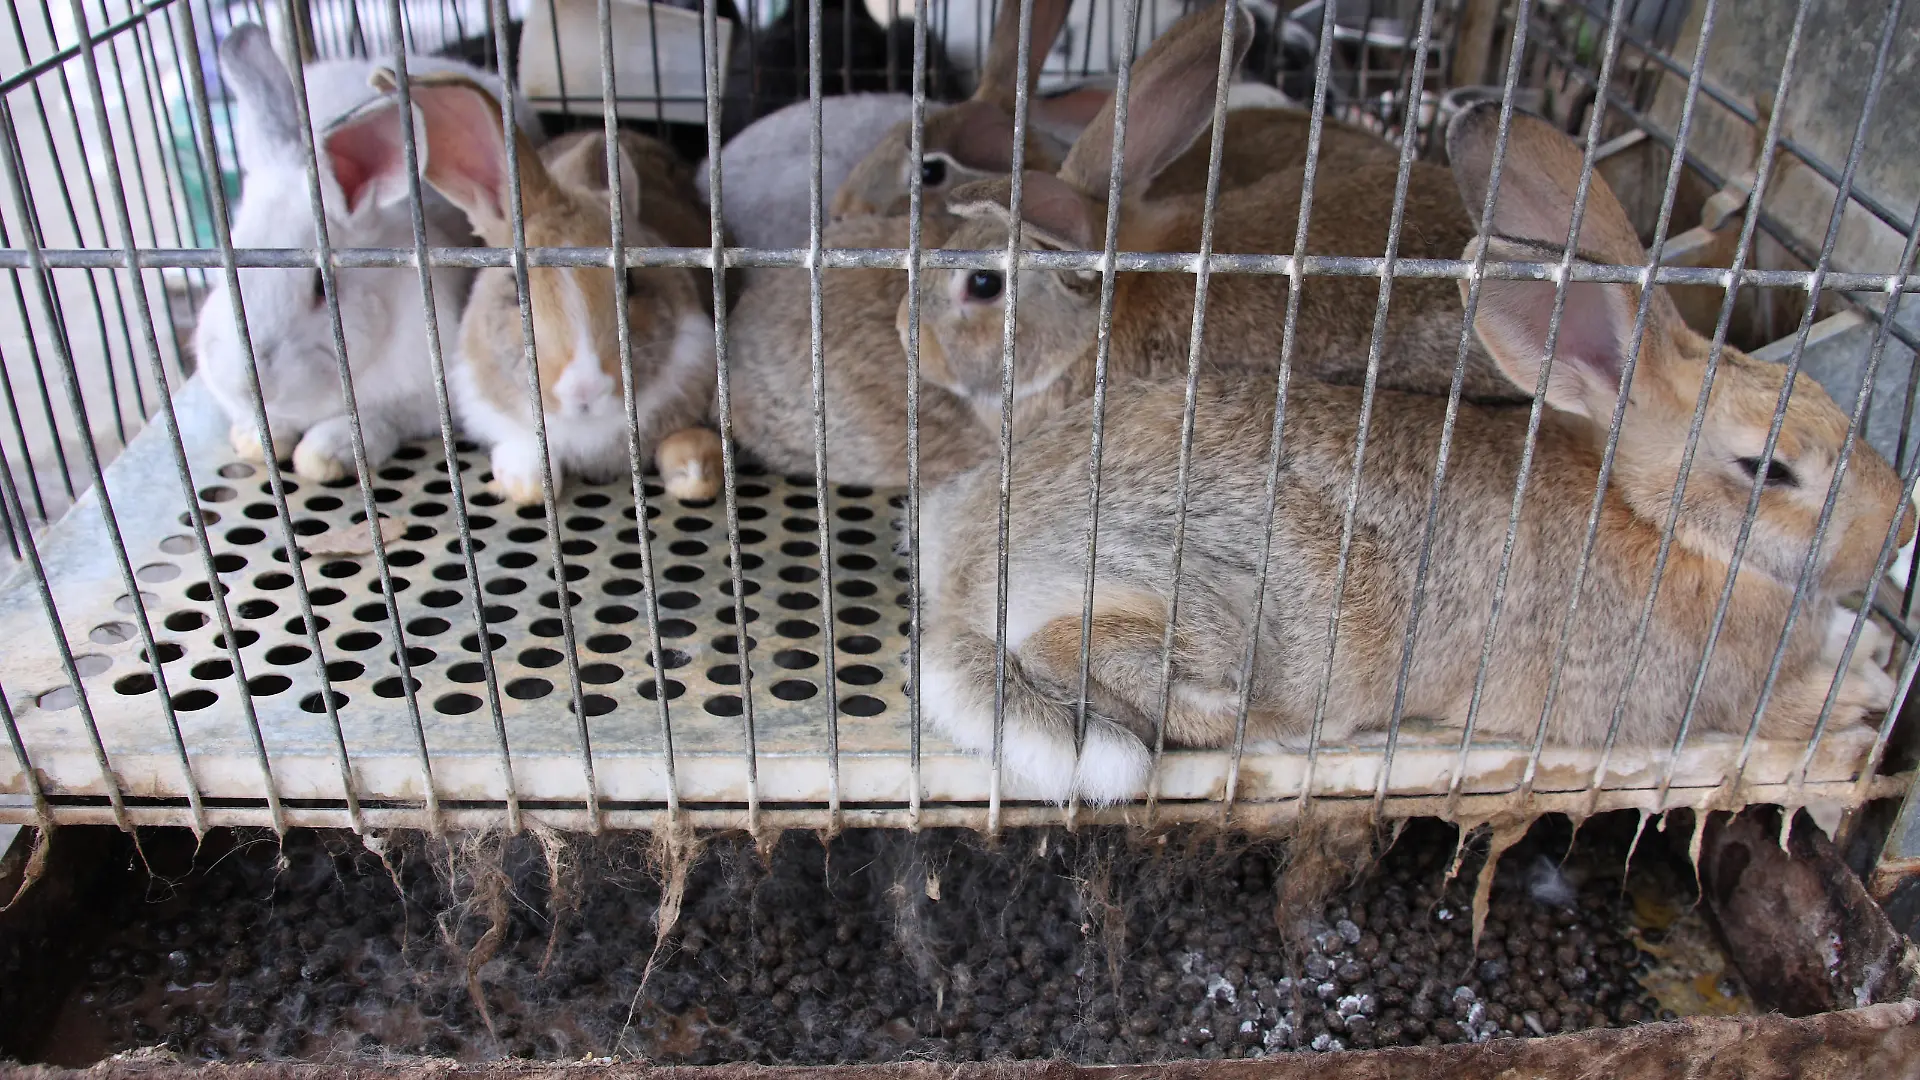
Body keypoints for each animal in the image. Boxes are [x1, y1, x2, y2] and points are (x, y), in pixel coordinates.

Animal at [193, 24, 542, 483]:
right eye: (222, 271)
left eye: (320, 287)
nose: (244, 383)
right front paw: (253, 438)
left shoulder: (425, 398)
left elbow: (375, 421)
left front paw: (323, 453)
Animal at [912, 104, 1917, 805]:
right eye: (1770, 469)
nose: (1900, 525)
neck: (1655, 519)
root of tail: (967, 585)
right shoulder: (1664, 703)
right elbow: (1765, 716)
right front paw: (1859, 696)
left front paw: (1865, 645)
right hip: (1221, 603)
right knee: (1089, 650)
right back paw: (1253, 722)